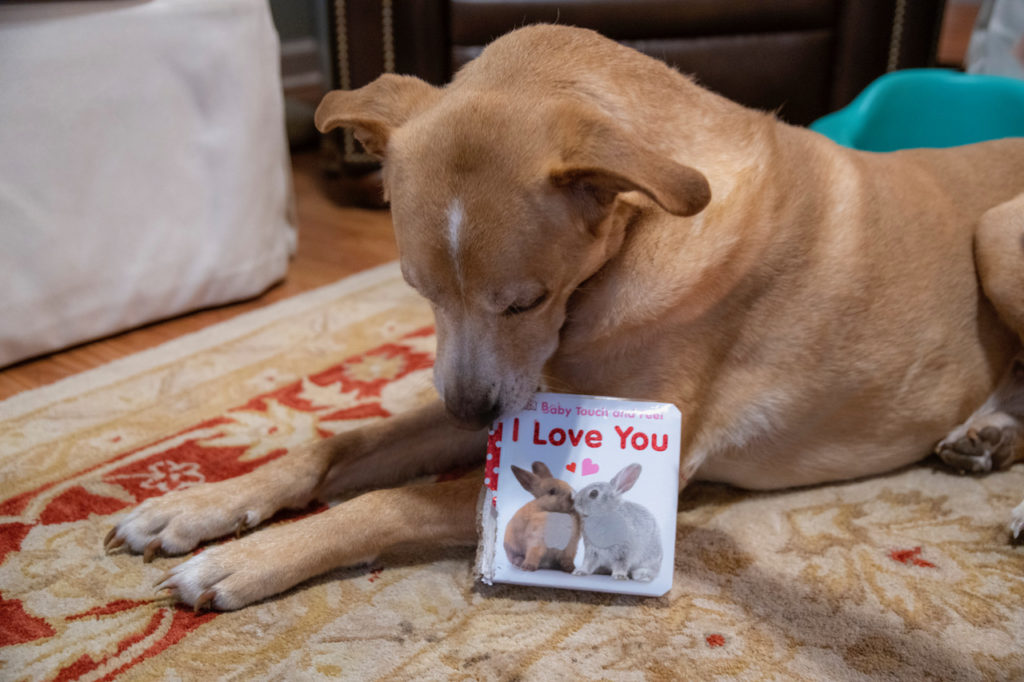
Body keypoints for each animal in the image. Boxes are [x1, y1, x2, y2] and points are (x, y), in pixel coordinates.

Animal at [105, 27, 1024, 610]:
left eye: (527, 299)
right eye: (419, 290)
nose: (469, 412)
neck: (630, 243)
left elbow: (386, 504)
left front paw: (246, 560)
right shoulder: (515, 390)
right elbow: (337, 446)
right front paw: (199, 506)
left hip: (998, 230)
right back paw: (987, 436)